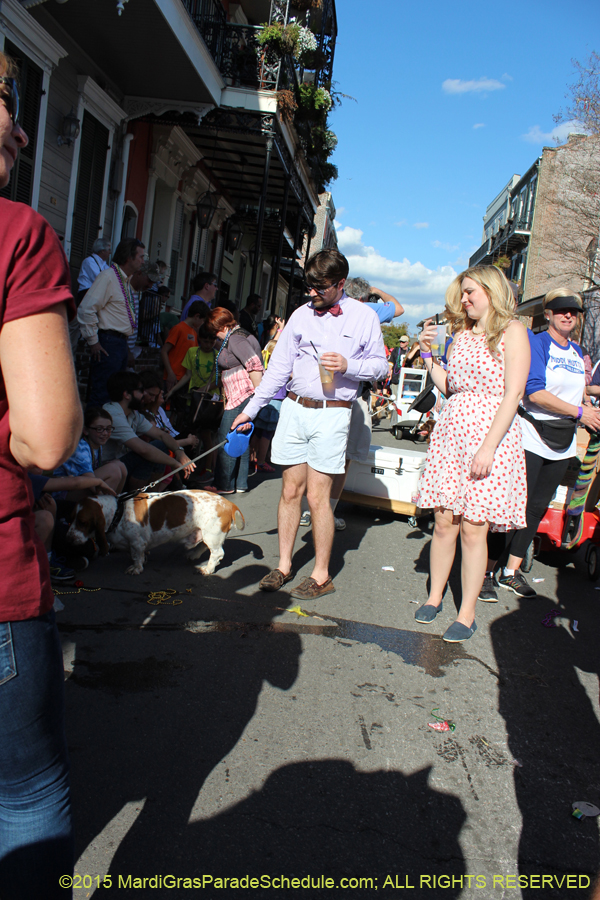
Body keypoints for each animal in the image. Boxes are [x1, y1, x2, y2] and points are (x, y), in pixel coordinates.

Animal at [66, 488, 244, 572]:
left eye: (82, 522)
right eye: (70, 518)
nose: (68, 539)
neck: (118, 511)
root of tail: (229, 504)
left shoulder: (136, 543)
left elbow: (136, 556)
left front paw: (136, 568)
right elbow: (139, 554)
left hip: (212, 534)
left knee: (217, 553)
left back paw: (207, 569)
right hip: (206, 533)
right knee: (203, 546)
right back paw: (193, 555)